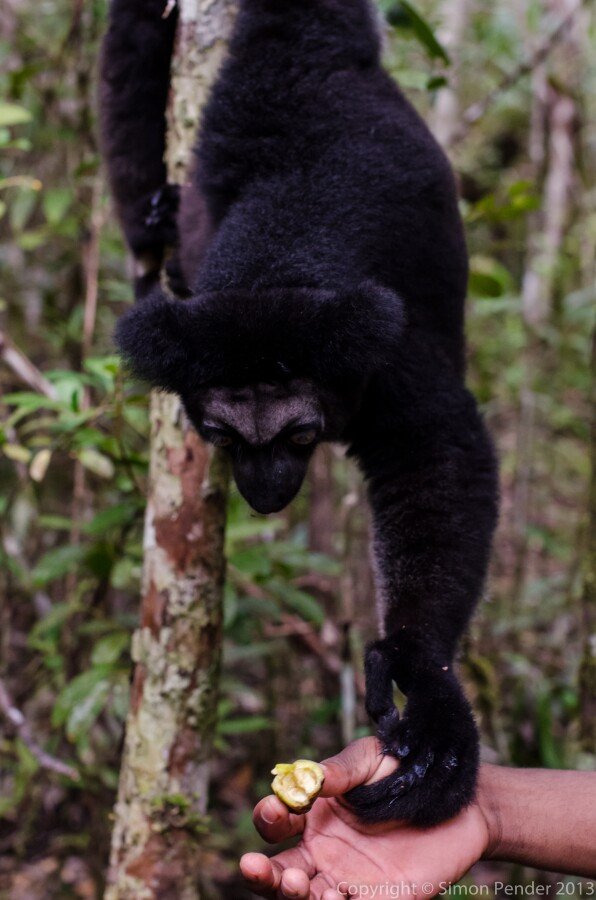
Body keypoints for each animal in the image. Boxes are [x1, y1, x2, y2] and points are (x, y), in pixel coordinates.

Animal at [100, 0, 499, 827]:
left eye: (300, 434)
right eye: (218, 435)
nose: (264, 493)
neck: (273, 265)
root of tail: (307, 61)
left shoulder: (382, 362)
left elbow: (438, 454)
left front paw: (422, 677)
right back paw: (156, 225)